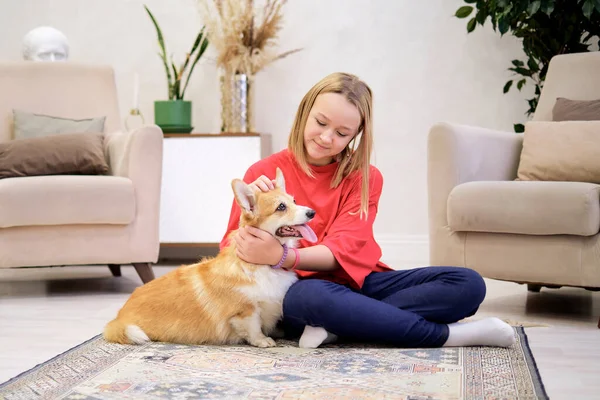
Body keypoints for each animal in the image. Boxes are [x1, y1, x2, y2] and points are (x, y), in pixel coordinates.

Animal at [103, 167, 318, 348]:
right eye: (281, 207)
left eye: (294, 201)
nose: (312, 212)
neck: (259, 264)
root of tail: (119, 317)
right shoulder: (244, 311)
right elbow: (253, 326)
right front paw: (263, 340)